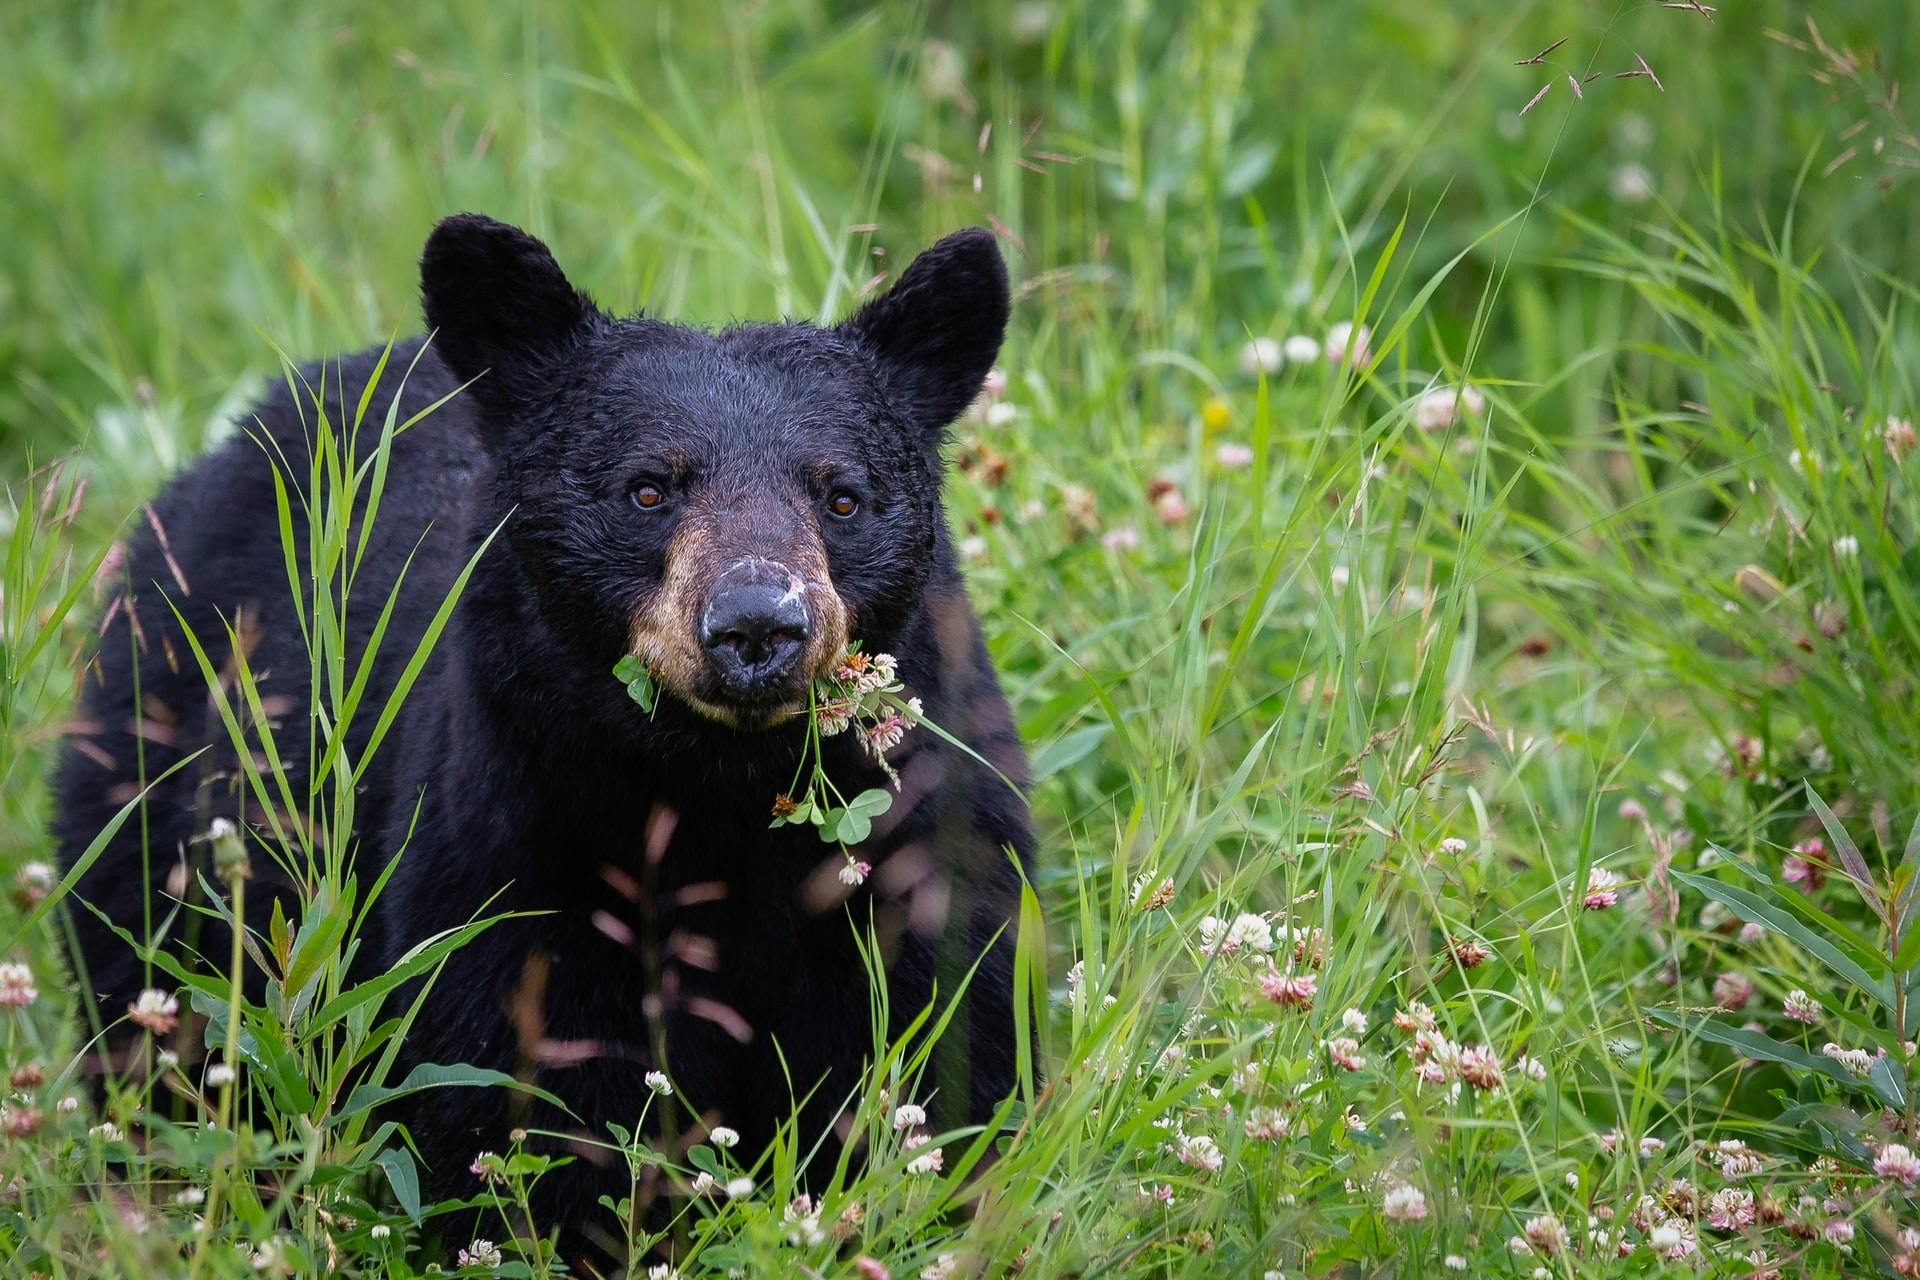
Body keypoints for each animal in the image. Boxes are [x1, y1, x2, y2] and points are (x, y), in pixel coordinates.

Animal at [52, 213, 1035, 1261]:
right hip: (155, 774)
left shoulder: (920, 843)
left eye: (841, 497)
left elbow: (944, 1050)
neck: (717, 792)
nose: (756, 626)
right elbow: (522, 1090)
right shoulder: (515, 843)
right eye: (648, 490)